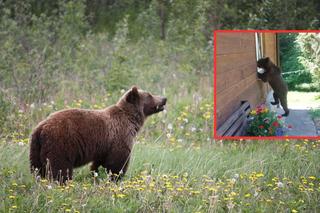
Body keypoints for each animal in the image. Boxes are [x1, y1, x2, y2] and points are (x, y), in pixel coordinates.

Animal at [29, 86, 168, 183]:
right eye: (149, 95)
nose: (164, 99)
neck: (131, 120)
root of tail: (41, 128)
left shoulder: (104, 146)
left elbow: (99, 163)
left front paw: (96, 176)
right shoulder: (119, 136)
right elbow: (117, 162)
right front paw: (115, 178)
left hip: (36, 147)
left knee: (37, 168)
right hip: (61, 143)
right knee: (60, 168)